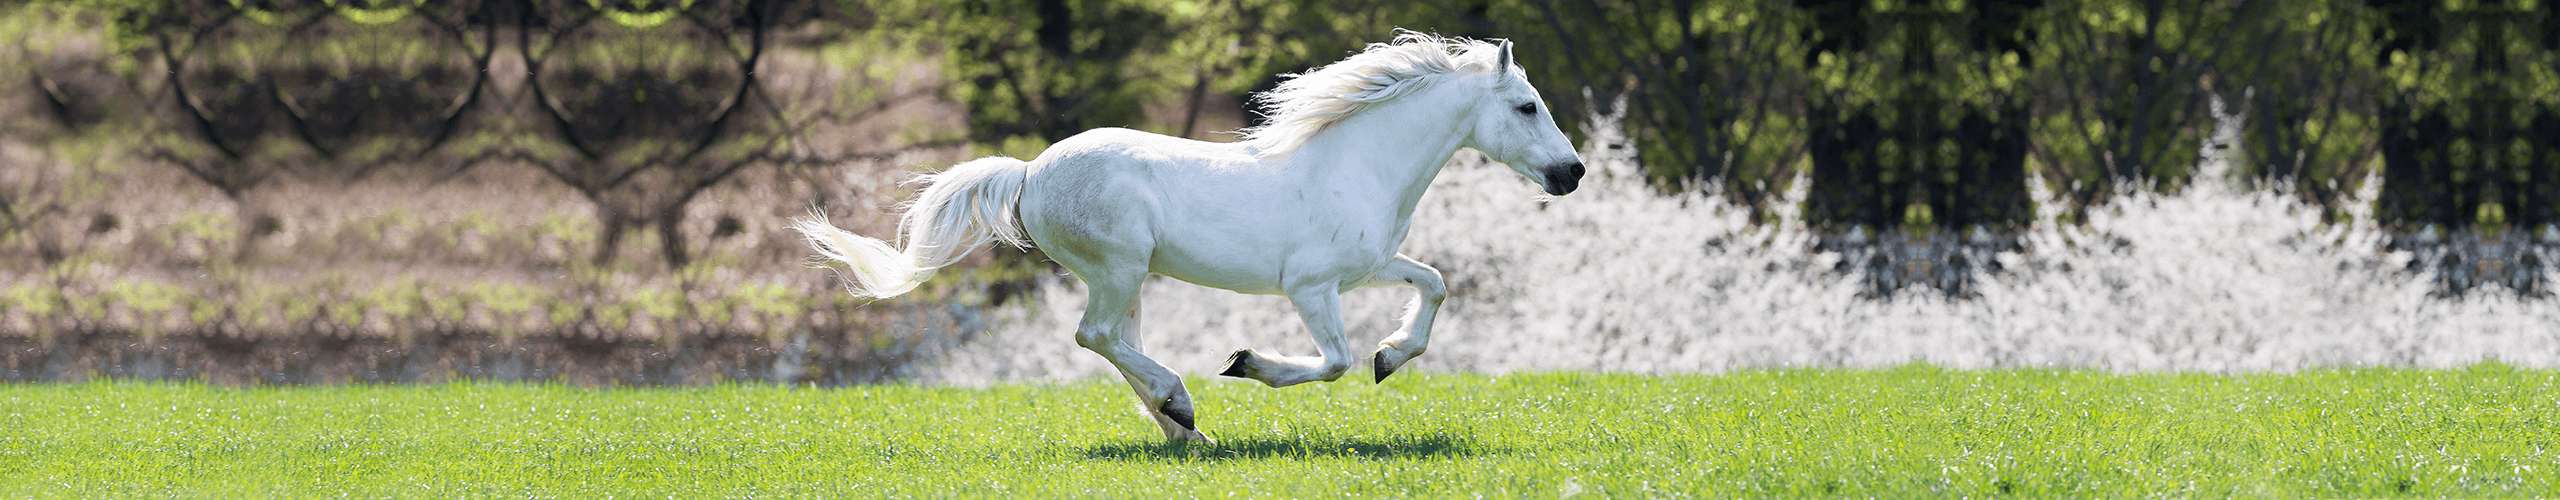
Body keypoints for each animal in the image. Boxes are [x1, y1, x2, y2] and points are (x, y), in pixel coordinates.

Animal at [788, 33, 1576, 443]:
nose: (1572, 173)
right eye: (1526, 105)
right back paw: (1182, 405)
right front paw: (1246, 363)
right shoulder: (1311, 287)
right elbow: (1333, 363)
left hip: (1128, 278)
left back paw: (1181, 428)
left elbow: (1434, 286)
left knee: (1114, 342)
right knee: (1095, 336)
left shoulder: (1371, 265)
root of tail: (1029, 172)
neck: (1357, 163)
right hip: (1118, 267)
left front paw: (1393, 355)